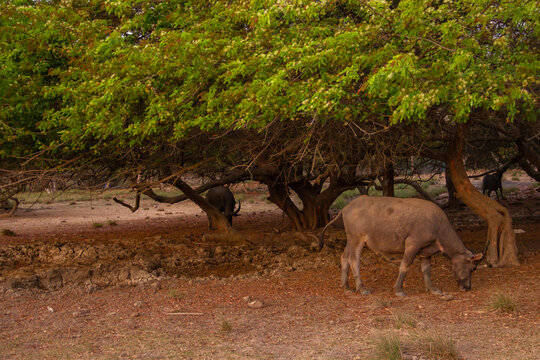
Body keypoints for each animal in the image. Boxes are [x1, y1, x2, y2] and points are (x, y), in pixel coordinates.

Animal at [318, 197, 484, 296]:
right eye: (472, 268)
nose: (467, 287)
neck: (438, 229)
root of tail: (345, 208)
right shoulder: (412, 244)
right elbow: (404, 266)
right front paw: (398, 290)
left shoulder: (426, 251)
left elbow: (427, 270)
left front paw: (432, 289)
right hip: (357, 239)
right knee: (354, 261)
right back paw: (362, 288)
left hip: (350, 240)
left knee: (344, 257)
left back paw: (346, 285)